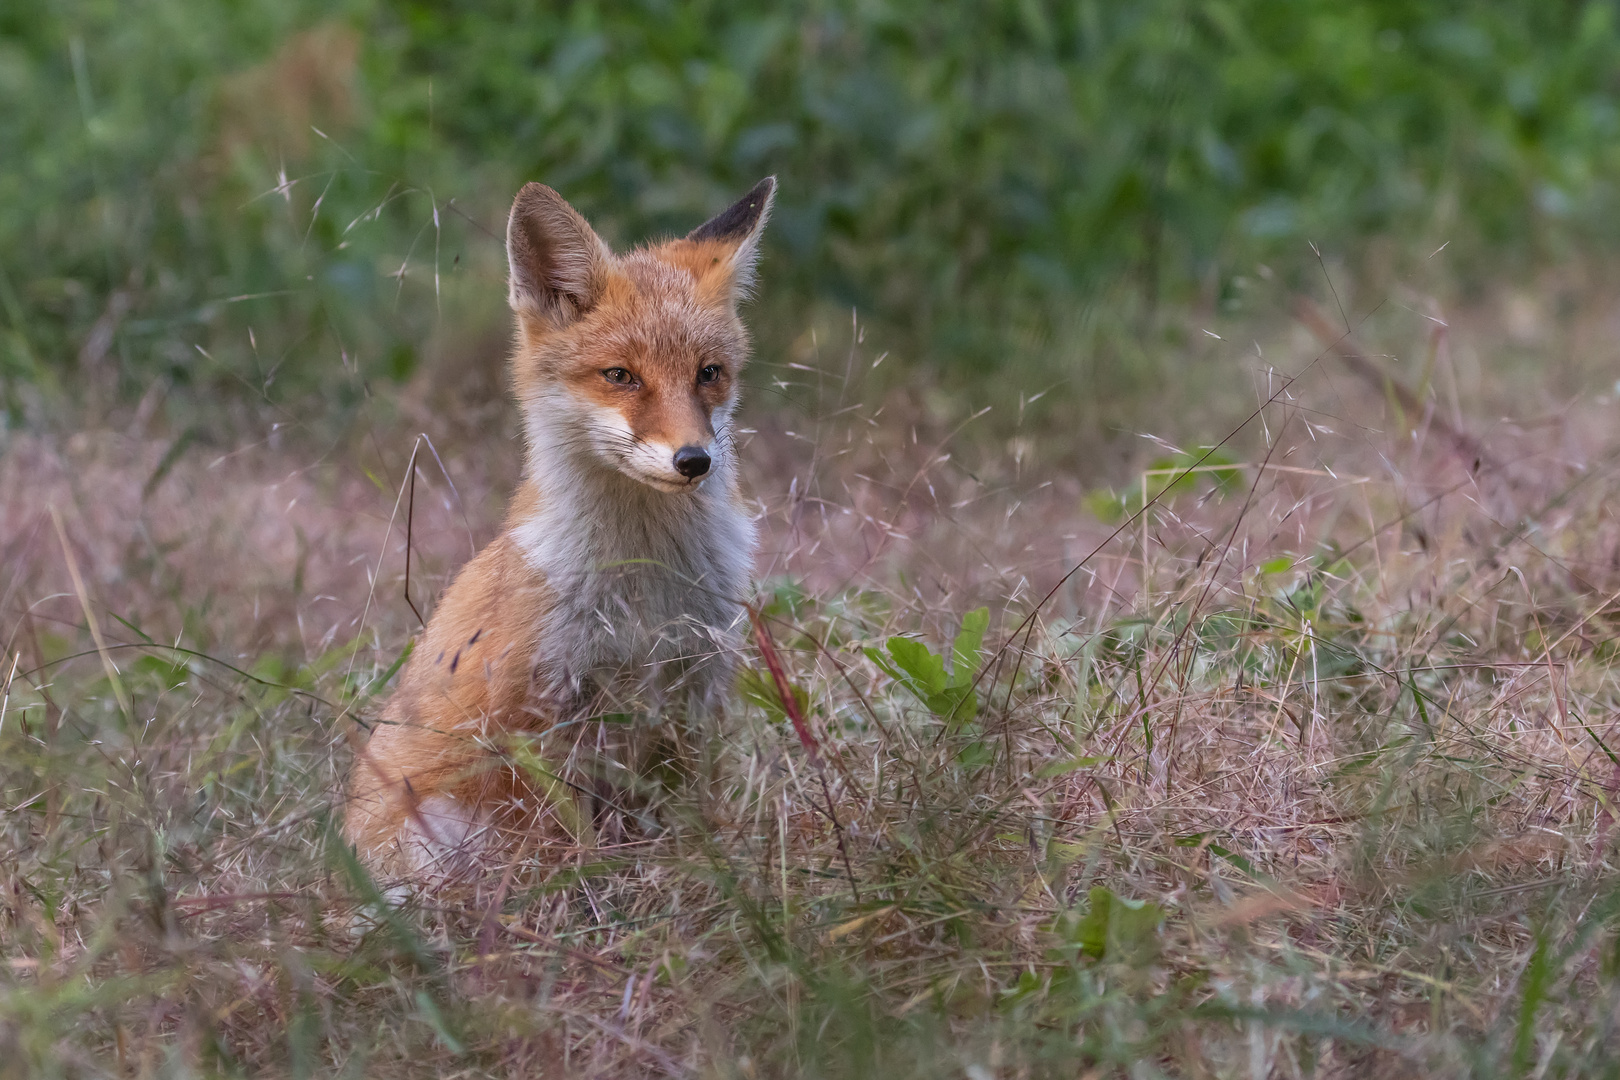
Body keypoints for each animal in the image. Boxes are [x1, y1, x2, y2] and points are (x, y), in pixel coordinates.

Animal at [343, 173, 777, 874]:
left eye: (708, 374)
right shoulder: (538, 710)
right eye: (621, 376)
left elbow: (695, 821)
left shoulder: (696, 684)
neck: (643, 579)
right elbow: (559, 841)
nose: (694, 460)